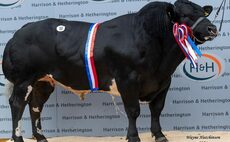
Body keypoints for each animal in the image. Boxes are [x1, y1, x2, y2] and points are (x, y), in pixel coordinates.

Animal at [2, 0, 217, 142]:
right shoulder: (127, 79)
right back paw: (18, 138)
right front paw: (133, 137)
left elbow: (157, 110)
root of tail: (22, 30)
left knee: (35, 106)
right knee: (17, 104)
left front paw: (160, 136)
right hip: (23, 79)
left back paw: (41, 137)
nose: (212, 29)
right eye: (186, 16)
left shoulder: (163, 82)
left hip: (43, 81)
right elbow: (133, 110)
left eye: (203, 12)